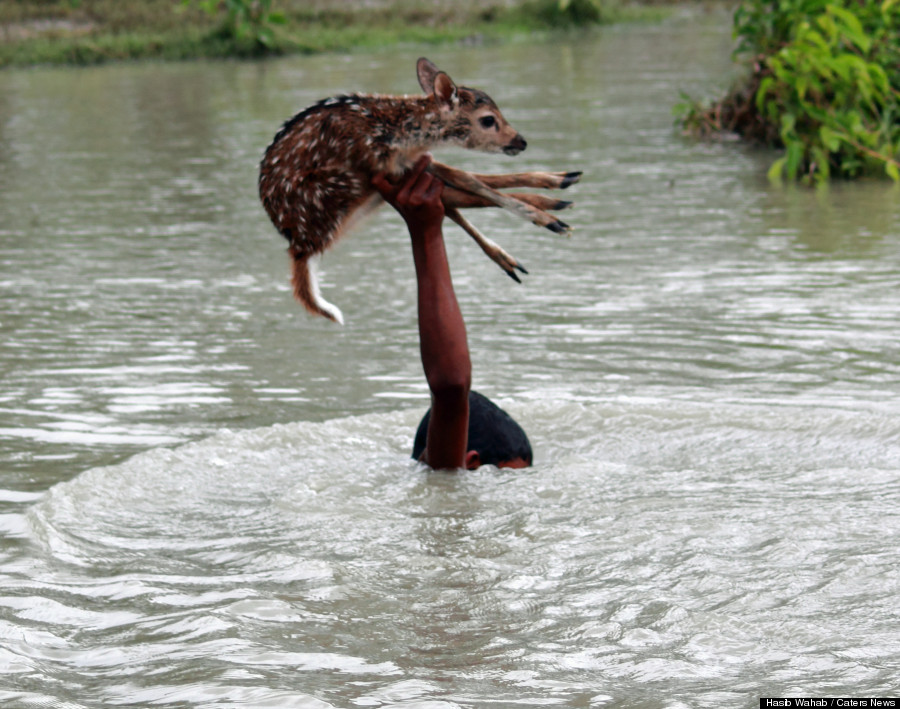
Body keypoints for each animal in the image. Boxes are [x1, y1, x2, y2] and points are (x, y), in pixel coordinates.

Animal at [258, 58, 584, 324]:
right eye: (488, 119)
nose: (521, 141)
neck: (399, 133)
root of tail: (299, 246)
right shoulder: (383, 166)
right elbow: (469, 182)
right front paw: (546, 215)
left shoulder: (409, 163)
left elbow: (467, 178)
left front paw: (554, 187)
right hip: (341, 189)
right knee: (455, 195)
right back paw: (548, 217)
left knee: (454, 195)